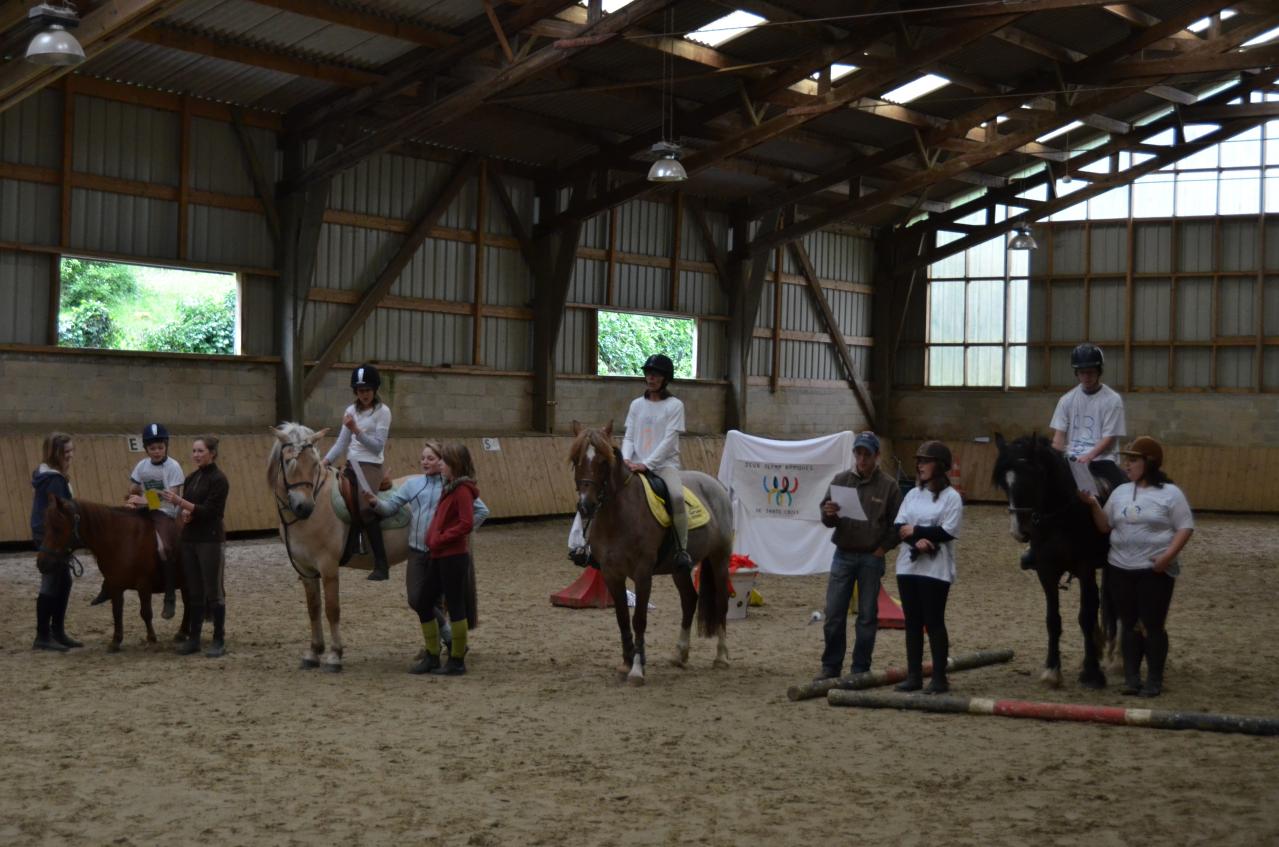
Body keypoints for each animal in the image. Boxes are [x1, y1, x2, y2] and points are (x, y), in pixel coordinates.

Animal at [36, 493, 189, 652]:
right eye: (45, 526)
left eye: (57, 528)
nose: (42, 563)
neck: (124, 540)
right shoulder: (115, 585)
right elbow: (117, 612)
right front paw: (116, 641)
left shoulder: (143, 584)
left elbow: (146, 612)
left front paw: (151, 639)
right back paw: (182, 633)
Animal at [266, 422, 409, 675]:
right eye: (288, 461)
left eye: (314, 463)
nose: (304, 507)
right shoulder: (305, 569)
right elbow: (313, 608)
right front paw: (313, 652)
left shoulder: (328, 566)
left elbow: (332, 609)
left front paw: (335, 656)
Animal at [567, 422, 736, 685]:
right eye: (576, 459)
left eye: (604, 461)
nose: (586, 506)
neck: (617, 516)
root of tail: (715, 484)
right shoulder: (611, 573)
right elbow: (622, 618)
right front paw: (626, 664)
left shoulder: (642, 573)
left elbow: (639, 619)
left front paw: (637, 669)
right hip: (680, 568)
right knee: (689, 600)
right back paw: (679, 655)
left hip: (720, 558)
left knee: (721, 602)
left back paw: (721, 657)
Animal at [987, 437, 1110, 690]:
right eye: (1005, 483)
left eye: (1034, 477)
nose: (1019, 532)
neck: (1060, 516)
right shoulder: (1046, 570)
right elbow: (1053, 620)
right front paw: (1052, 670)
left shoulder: (1085, 567)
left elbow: (1085, 616)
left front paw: (1093, 674)